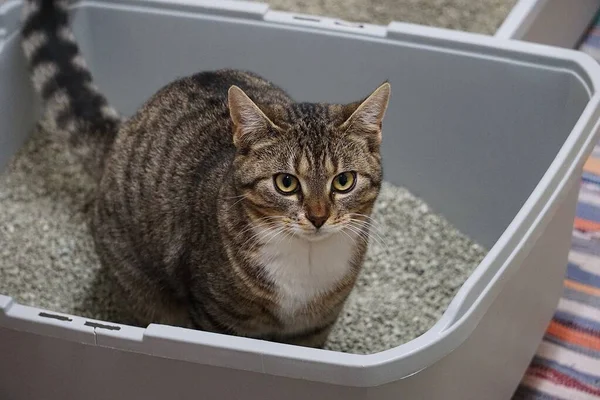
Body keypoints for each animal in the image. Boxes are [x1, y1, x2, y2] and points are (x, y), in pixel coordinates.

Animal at [19, 0, 390, 346]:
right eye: (286, 183)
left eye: (343, 181)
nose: (317, 216)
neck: (306, 263)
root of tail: (121, 134)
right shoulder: (215, 315)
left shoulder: (315, 327)